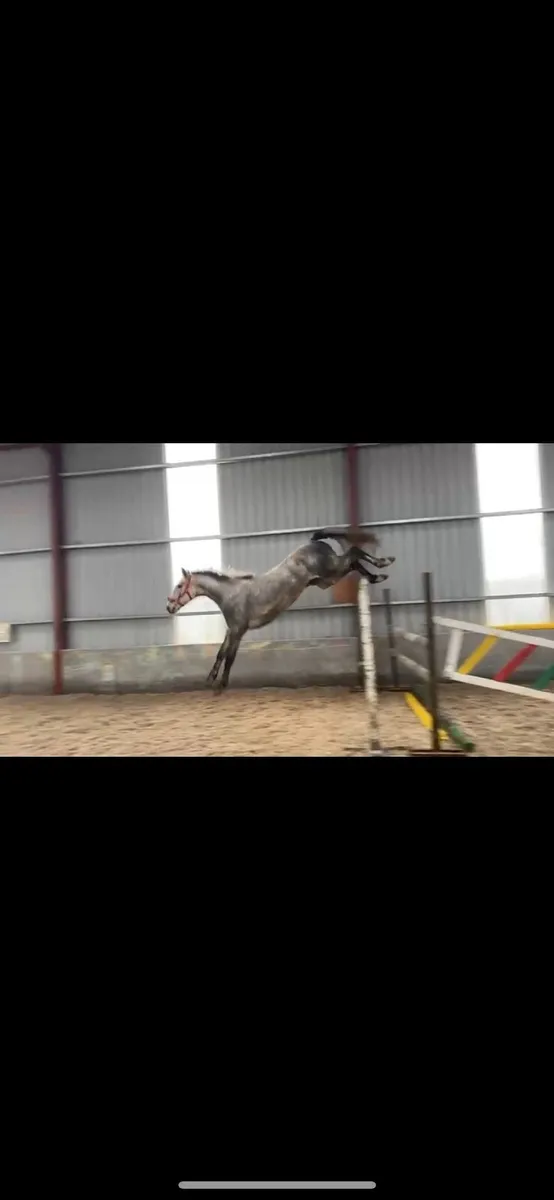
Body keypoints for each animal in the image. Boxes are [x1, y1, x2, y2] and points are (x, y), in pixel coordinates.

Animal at [166, 527, 395, 691]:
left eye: (179, 586)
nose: (169, 606)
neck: (229, 594)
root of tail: (312, 543)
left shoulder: (239, 631)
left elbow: (230, 657)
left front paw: (221, 685)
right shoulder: (231, 630)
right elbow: (221, 653)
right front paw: (210, 680)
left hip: (332, 570)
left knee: (354, 553)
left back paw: (383, 564)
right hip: (327, 579)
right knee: (354, 562)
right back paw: (377, 575)